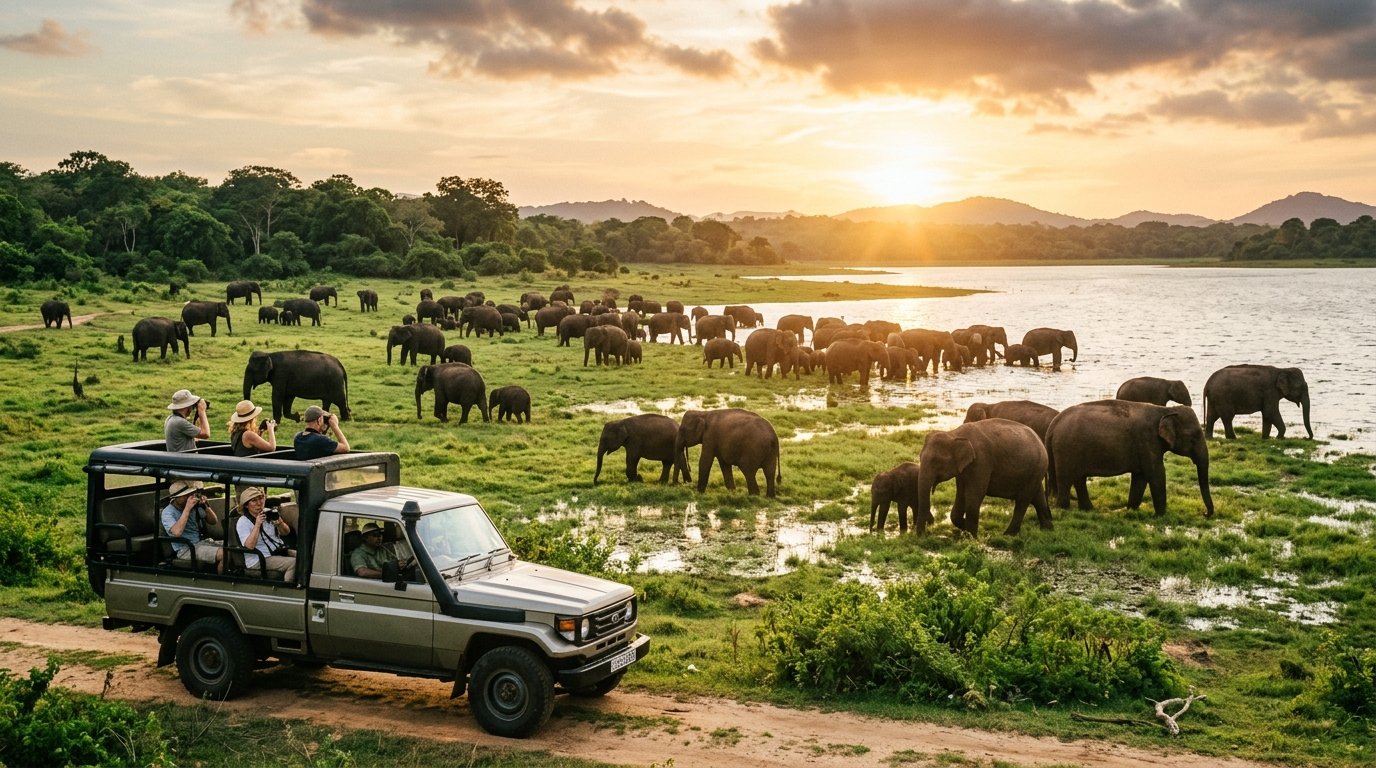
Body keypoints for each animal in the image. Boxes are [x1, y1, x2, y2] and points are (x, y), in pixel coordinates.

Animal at [917, 419, 1053, 537]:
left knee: (1023, 501)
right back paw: (1047, 530)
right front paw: (965, 529)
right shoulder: (964, 469)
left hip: (1036, 468)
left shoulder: (981, 461)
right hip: (1035, 471)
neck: (954, 434)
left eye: (936, 461)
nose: (922, 535)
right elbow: (961, 494)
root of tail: (1042, 443)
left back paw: (1008, 535)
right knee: (1037, 496)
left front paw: (971, 537)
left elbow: (975, 494)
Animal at [1045, 399, 1214, 518]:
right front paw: (1160, 516)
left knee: (1079, 478)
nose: (1204, 513)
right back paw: (1063, 507)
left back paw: (1088, 509)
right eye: (1194, 437)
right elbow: (1156, 474)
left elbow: (1140, 477)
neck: (1165, 410)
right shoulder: (1147, 440)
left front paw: (1131, 510)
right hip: (1065, 448)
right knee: (1066, 477)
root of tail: (1053, 424)